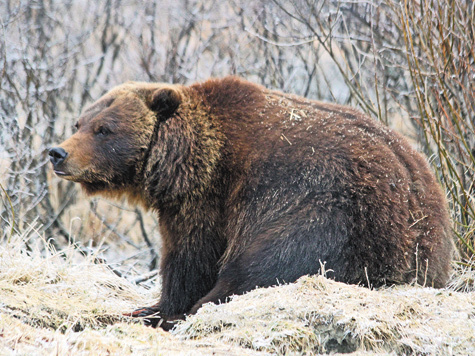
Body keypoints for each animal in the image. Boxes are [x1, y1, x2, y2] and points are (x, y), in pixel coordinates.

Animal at [50, 76, 456, 330]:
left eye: (104, 129)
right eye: (78, 123)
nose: (57, 153)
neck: (184, 162)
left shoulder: (210, 198)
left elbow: (190, 259)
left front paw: (162, 310)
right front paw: (146, 307)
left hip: (333, 216)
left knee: (261, 264)